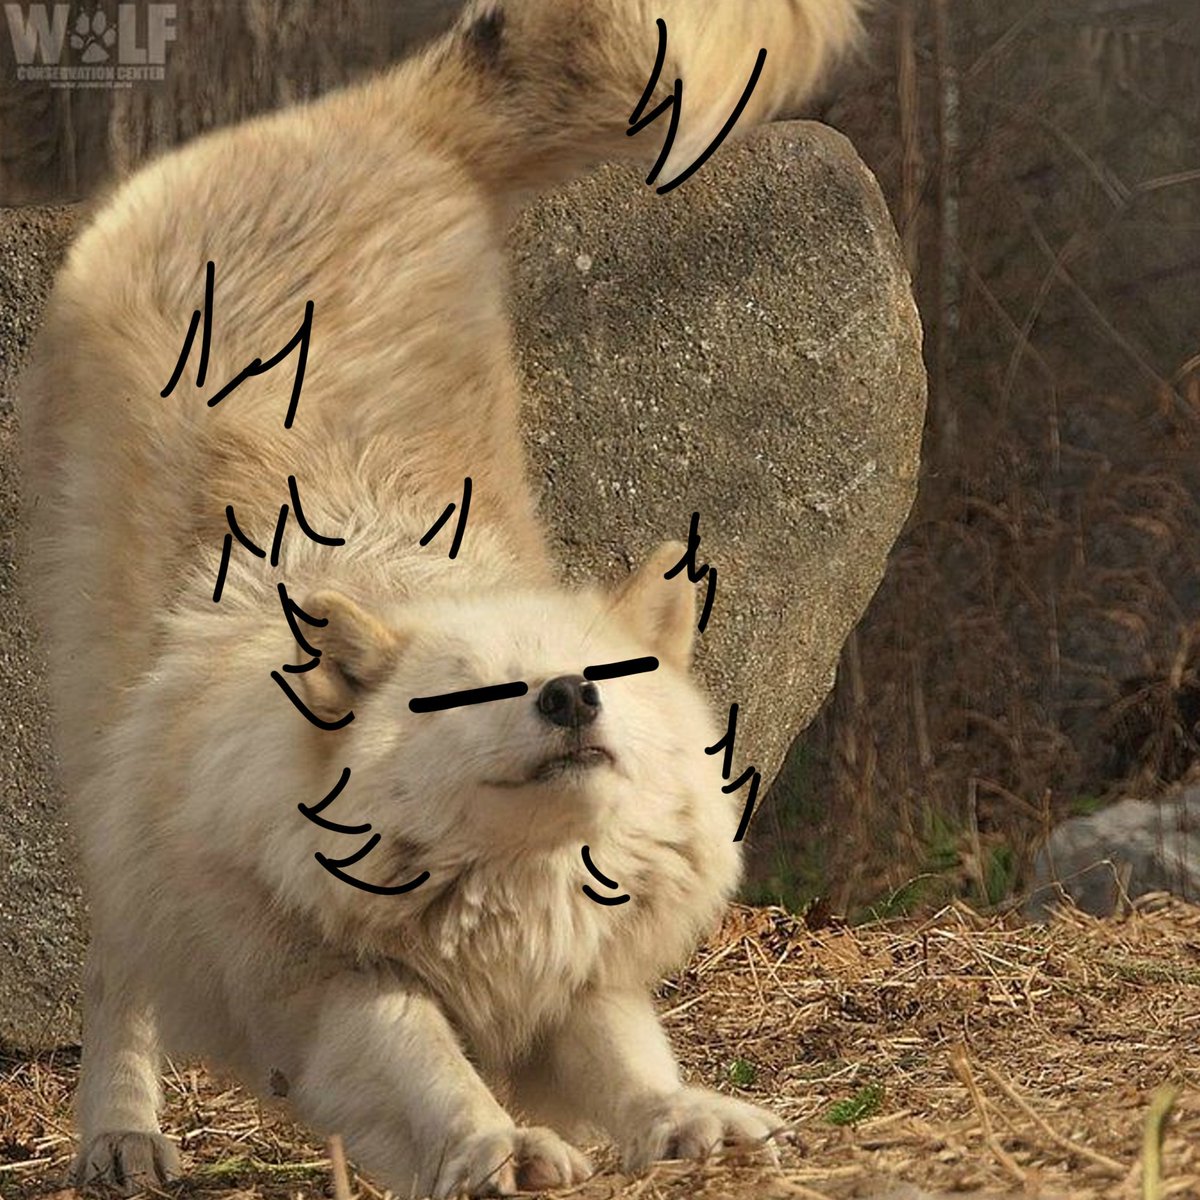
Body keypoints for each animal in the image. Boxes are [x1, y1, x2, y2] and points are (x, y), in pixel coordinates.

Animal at [20, 1, 860, 1195]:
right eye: (469, 694)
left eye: (604, 675)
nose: (569, 698)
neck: (511, 898)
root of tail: (350, 121)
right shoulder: (328, 982)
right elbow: (423, 1057)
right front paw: (496, 1145)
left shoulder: (576, 981)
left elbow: (627, 1057)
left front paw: (685, 1118)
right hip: (106, 757)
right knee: (117, 969)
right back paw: (121, 1136)